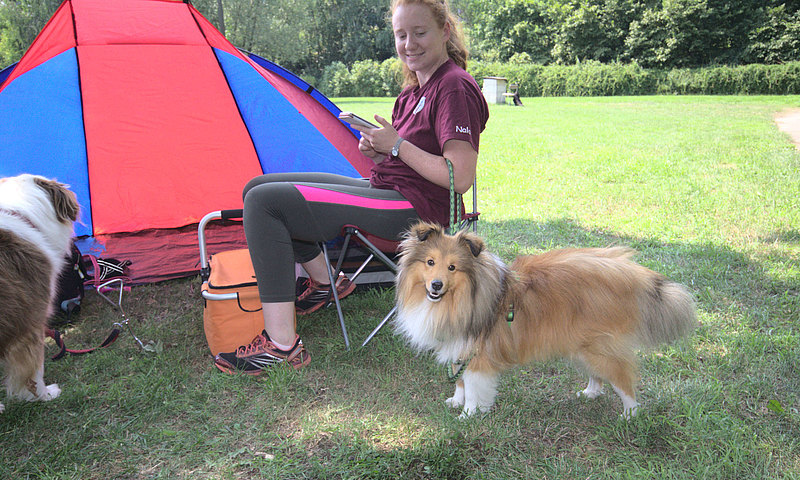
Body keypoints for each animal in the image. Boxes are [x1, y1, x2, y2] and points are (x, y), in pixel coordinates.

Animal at [394, 222, 697, 419]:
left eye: (452, 267)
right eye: (430, 262)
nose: (435, 286)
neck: (462, 298)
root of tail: (627, 271)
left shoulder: (478, 357)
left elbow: (474, 388)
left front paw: (468, 416)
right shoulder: (458, 347)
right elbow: (459, 382)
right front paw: (456, 401)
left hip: (601, 349)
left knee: (623, 380)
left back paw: (629, 415)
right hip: (582, 346)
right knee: (597, 376)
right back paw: (589, 394)